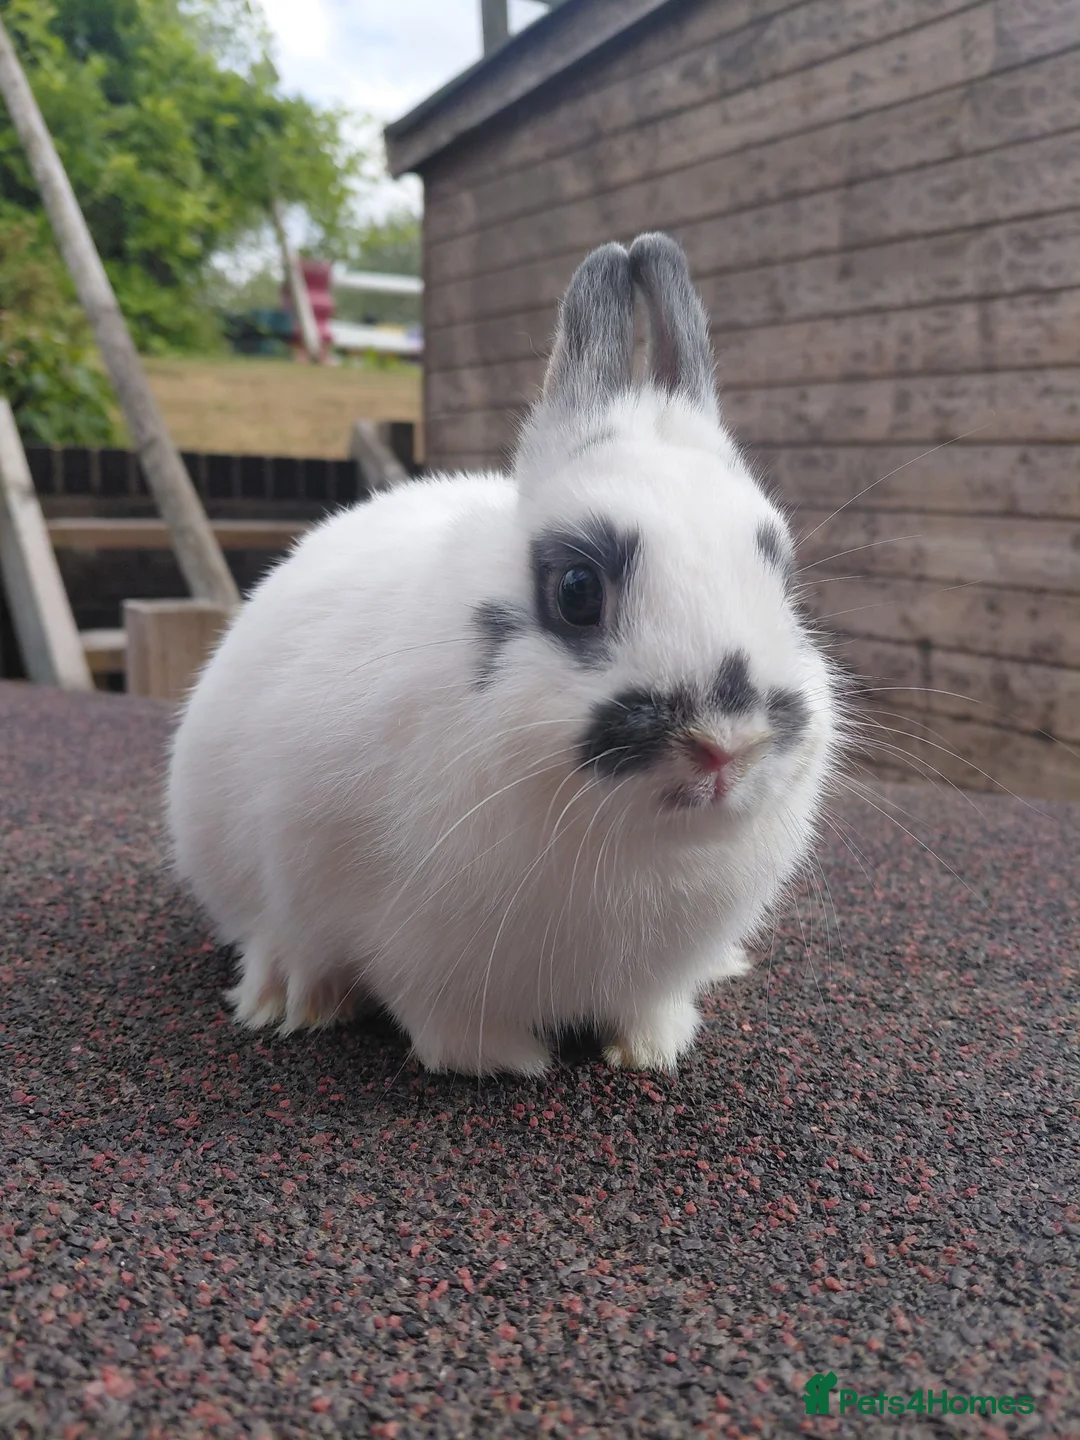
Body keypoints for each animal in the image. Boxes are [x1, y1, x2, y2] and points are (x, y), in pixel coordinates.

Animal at [166, 233, 841, 1078]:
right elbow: (442, 1017)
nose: (726, 746)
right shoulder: (414, 949)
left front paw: (649, 1050)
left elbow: (649, 1002)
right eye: (578, 590)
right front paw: (509, 1062)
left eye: (782, 578)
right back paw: (290, 997)